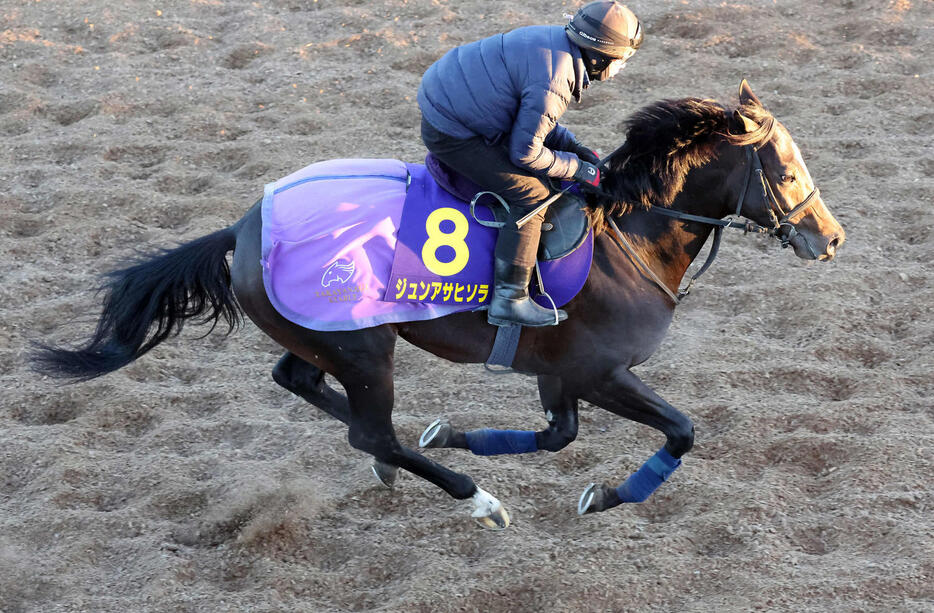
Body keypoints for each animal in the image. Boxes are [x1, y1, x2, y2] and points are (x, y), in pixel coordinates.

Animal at [31, 80, 848, 532]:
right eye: (784, 168)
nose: (830, 237)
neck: (629, 232)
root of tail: (241, 229)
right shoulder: (600, 371)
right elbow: (680, 431)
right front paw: (610, 494)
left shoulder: (560, 373)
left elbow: (556, 436)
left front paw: (453, 432)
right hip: (367, 348)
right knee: (368, 429)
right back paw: (473, 499)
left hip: (329, 336)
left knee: (303, 385)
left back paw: (402, 465)